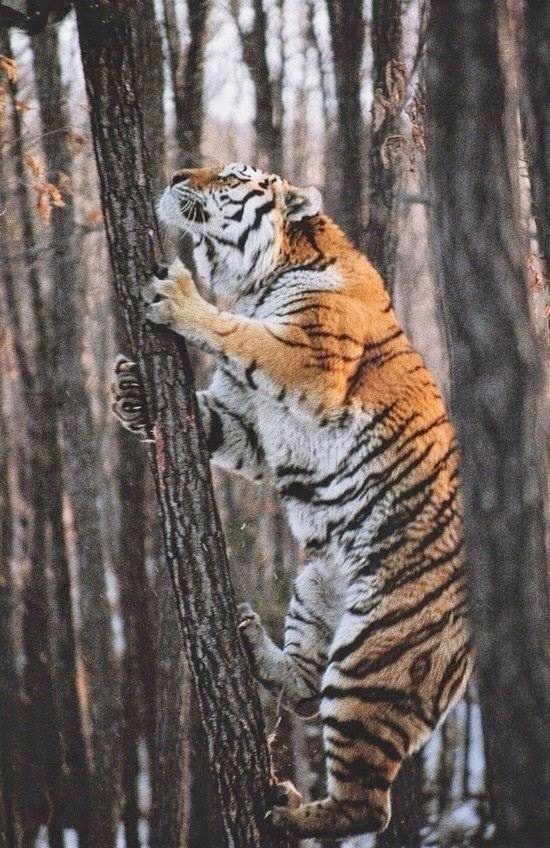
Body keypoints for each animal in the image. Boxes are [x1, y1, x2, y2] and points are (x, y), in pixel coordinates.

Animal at [111, 162, 472, 839]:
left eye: (229, 176)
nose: (175, 174)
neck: (259, 280)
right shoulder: (250, 426)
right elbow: (218, 415)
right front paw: (130, 392)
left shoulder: (307, 362)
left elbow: (239, 334)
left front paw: (177, 298)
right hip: (316, 586)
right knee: (305, 690)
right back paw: (254, 645)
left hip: (371, 661)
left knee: (369, 805)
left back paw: (284, 811)